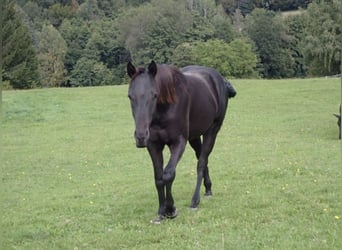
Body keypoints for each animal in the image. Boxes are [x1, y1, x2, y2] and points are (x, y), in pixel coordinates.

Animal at [127, 61, 236, 223]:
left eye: (154, 95)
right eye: (130, 96)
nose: (140, 136)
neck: (165, 108)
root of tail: (220, 79)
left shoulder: (178, 142)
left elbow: (168, 174)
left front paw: (171, 209)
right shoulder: (153, 145)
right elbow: (158, 178)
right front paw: (161, 212)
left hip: (212, 130)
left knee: (201, 162)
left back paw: (195, 201)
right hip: (194, 137)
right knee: (202, 158)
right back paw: (208, 188)